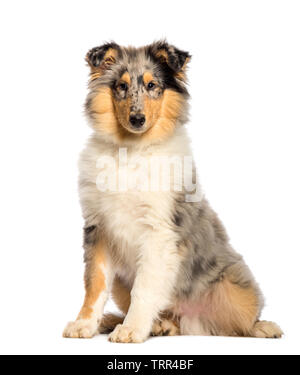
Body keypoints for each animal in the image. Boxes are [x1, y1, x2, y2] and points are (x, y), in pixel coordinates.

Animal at [62, 41, 282, 344]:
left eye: (152, 85)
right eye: (121, 86)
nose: (137, 119)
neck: (131, 150)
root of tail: (193, 321)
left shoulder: (159, 232)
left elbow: (144, 287)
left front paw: (131, 329)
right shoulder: (98, 228)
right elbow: (94, 284)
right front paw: (84, 324)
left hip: (236, 288)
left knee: (239, 323)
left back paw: (262, 327)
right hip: (121, 282)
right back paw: (148, 324)